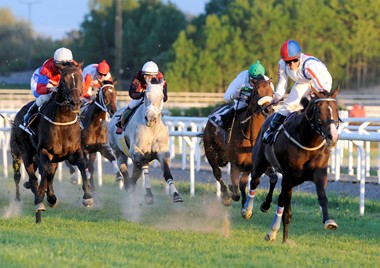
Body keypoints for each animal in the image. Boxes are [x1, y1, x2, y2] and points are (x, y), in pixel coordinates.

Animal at [10, 62, 93, 222]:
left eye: (80, 79)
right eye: (63, 80)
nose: (75, 102)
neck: (64, 122)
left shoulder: (73, 152)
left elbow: (82, 165)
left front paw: (87, 197)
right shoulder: (43, 151)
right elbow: (45, 172)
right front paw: (42, 197)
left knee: (48, 174)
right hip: (25, 152)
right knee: (33, 176)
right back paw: (37, 198)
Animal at [203, 78, 274, 206]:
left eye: (272, 92)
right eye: (256, 91)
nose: (268, 110)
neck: (251, 138)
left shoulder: (252, 165)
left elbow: (244, 183)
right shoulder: (235, 164)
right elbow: (236, 192)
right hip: (210, 150)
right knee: (217, 173)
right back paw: (226, 196)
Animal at [243, 87, 342, 243]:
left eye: (336, 109)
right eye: (319, 110)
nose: (332, 136)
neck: (308, 142)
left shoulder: (319, 174)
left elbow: (322, 196)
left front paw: (329, 221)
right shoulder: (289, 176)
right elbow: (283, 204)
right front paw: (274, 232)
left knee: (276, 187)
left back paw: (266, 206)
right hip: (259, 163)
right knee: (255, 182)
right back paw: (247, 210)